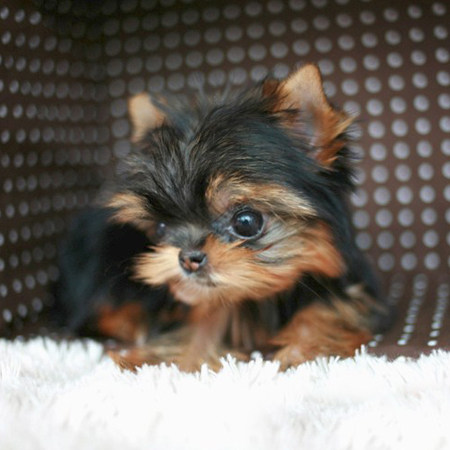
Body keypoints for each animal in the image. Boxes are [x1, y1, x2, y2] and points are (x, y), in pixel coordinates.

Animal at [52, 64, 393, 371]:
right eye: (161, 228)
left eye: (246, 222)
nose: (188, 258)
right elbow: (201, 324)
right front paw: (176, 359)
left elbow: (328, 312)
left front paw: (304, 352)